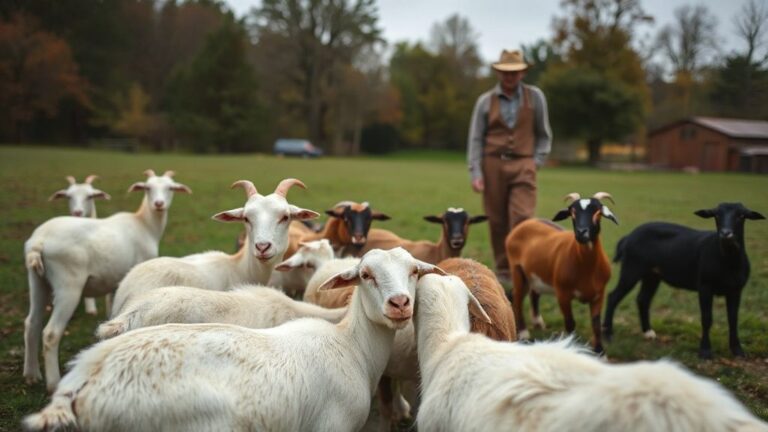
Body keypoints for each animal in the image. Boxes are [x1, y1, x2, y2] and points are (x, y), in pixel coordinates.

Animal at [24, 248, 444, 432]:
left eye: (414, 271)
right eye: (366, 275)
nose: (399, 304)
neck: (351, 345)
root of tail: (83, 380)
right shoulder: (331, 426)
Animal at [505, 192, 617, 353]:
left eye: (598, 212)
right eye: (572, 212)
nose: (581, 233)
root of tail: (526, 223)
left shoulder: (599, 295)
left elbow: (596, 323)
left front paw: (599, 351)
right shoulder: (563, 293)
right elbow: (570, 323)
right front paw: (571, 346)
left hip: (534, 275)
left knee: (531, 294)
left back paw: (538, 323)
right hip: (517, 270)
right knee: (517, 298)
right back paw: (524, 333)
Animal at [603, 202, 765, 359]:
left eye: (741, 216)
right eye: (716, 215)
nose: (726, 233)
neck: (728, 261)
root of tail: (628, 236)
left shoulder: (736, 289)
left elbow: (733, 319)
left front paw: (738, 351)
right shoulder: (705, 286)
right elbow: (706, 318)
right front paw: (705, 351)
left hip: (652, 274)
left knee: (643, 299)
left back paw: (648, 332)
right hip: (631, 268)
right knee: (613, 297)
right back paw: (608, 334)